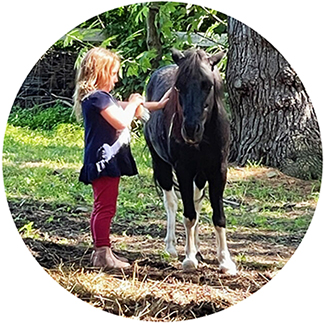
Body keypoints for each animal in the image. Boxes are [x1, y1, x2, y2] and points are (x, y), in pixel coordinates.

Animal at [144, 46, 235, 272]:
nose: (191, 129)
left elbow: (217, 216)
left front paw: (225, 261)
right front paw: (190, 258)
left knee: (196, 201)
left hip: (200, 175)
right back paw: (171, 247)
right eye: (179, 86)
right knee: (172, 203)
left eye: (207, 84)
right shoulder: (183, 170)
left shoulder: (218, 171)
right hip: (162, 166)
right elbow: (189, 215)